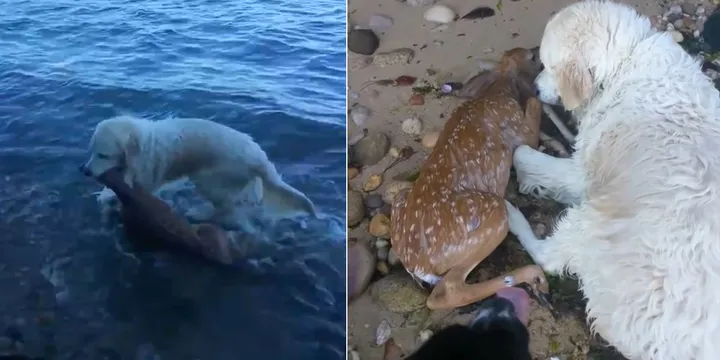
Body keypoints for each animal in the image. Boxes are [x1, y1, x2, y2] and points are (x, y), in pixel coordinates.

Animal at [80, 114, 316, 228]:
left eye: (103, 155)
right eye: (92, 152)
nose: (85, 171)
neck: (142, 146)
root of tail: (261, 159)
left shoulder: (146, 179)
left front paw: (110, 196)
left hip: (208, 180)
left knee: (226, 208)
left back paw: (199, 213)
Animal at [504, 1, 720, 358]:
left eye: (548, 65)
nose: (534, 88)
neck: (624, 63)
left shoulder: (582, 174)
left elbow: (523, 154)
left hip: (595, 220)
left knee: (548, 259)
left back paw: (510, 215)